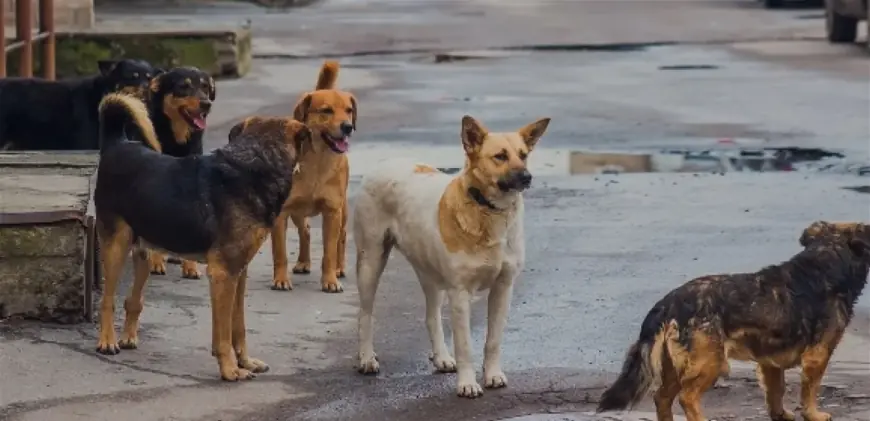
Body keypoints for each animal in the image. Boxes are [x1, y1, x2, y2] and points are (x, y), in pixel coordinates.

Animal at [93, 92, 306, 380]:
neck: (255, 164)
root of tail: (117, 144)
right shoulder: (223, 274)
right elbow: (223, 334)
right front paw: (230, 369)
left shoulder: (239, 272)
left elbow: (238, 326)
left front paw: (246, 362)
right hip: (116, 245)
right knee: (107, 301)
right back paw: (107, 341)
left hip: (144, 250)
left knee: (132, 299)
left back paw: (128, 337)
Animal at [138, 66, 218, 278]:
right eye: (184, 87)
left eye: (205, 87)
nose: (206, 104)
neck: (177, 140)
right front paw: (156, 262)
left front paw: (190, 266)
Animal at [266, 60, 358, 292]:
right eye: (326, 110)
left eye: (349, 110)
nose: (348, 127)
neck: (318, 161)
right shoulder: (281, 213)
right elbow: (280, 252)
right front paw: (281, 279)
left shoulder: (332, 211)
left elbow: (329, 252)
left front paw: (330, 280)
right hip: (298, 212)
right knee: (305, 230)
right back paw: (303, 262)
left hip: (342, 211)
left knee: (342, 237)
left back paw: (339, 268)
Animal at [352, 113, 552, 396]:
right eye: (500, 156)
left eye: (523, 155)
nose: (527, 177)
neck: (487, 210)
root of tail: (385, 162)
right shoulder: (460, 293)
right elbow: (465, 344)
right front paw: (467, 384)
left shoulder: (503, 288)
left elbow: (493, 340)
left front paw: (492, 375)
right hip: (370, 262)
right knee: (365, 314)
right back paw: (367, 358)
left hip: (430, 274)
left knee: (431, 316)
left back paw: (441, 357)